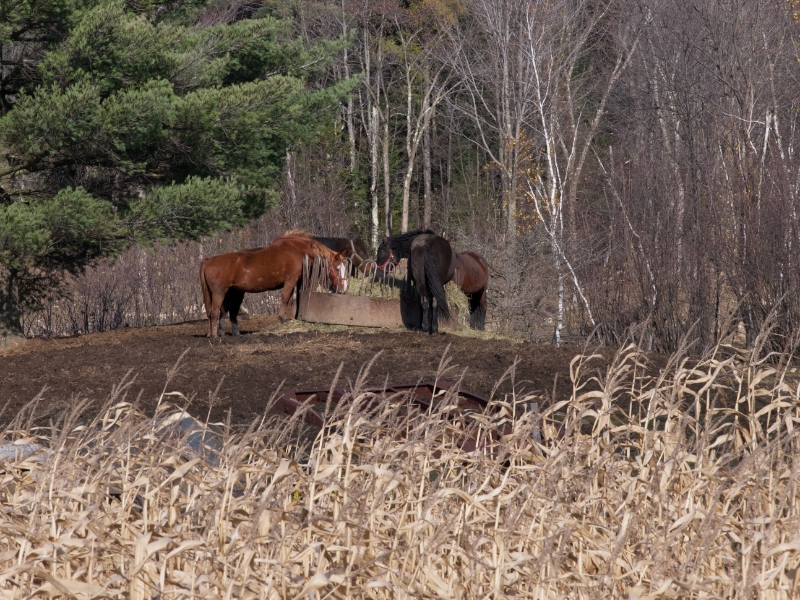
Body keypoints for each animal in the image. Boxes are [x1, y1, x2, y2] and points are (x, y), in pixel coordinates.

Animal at [200, 232, 344, 338]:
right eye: (337, 268)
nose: (342, 288)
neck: (297, 250)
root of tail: (208, 260)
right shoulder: (290, 280)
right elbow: (285, 298)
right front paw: (281, 317)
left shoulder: (292, 282)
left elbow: (290, 301)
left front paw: (289, 318)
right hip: (219, 293)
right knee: (214, 312)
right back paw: (215, 336)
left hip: (233, 292)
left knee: (227, 311)